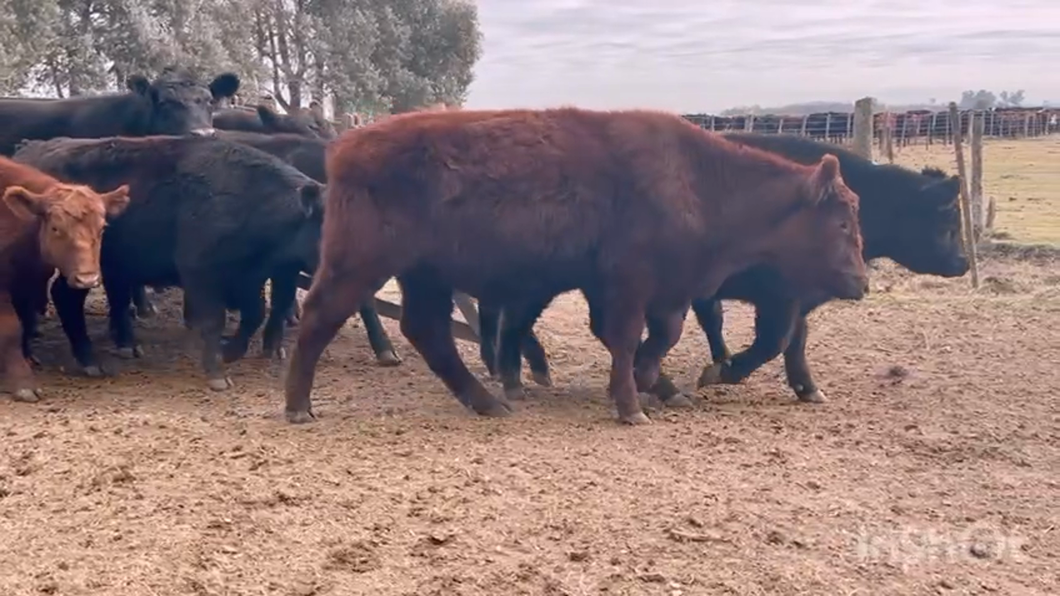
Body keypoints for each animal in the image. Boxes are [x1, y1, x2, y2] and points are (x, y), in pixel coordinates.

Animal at [0, 155, 131, 400]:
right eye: (55, 228)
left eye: (102, 228)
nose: (87, 279)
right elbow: (11, 329)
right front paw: (22, 381)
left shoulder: (28, 283)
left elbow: (26, 322)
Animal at [14, 134, 322, 390]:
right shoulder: (201, 273)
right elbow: (213, 321)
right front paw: (216, 374)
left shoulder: (251, 276)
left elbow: (255, 313)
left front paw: (230, 352)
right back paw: (83, 359)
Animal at [284, 106, 869, 422]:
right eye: (842, 222)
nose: (861, 281)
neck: (697, 178)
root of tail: (347, 144)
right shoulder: (630, 283)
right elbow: (629, 337)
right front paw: (632, 405)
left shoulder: (663, 290)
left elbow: (658, 336)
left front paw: (657, 387)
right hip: (359, 262)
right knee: (319, 316)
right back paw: (298, 406)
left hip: (425, 275)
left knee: (427, 331)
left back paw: (489, 402)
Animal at [487, 133, 970, 402]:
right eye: (949, 219)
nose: (964, 262)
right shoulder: (778, 296)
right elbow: (774, 341)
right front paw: (723, 371)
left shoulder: (797, 299)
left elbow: (795, 342)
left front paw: (807, 387)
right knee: (517, 316)